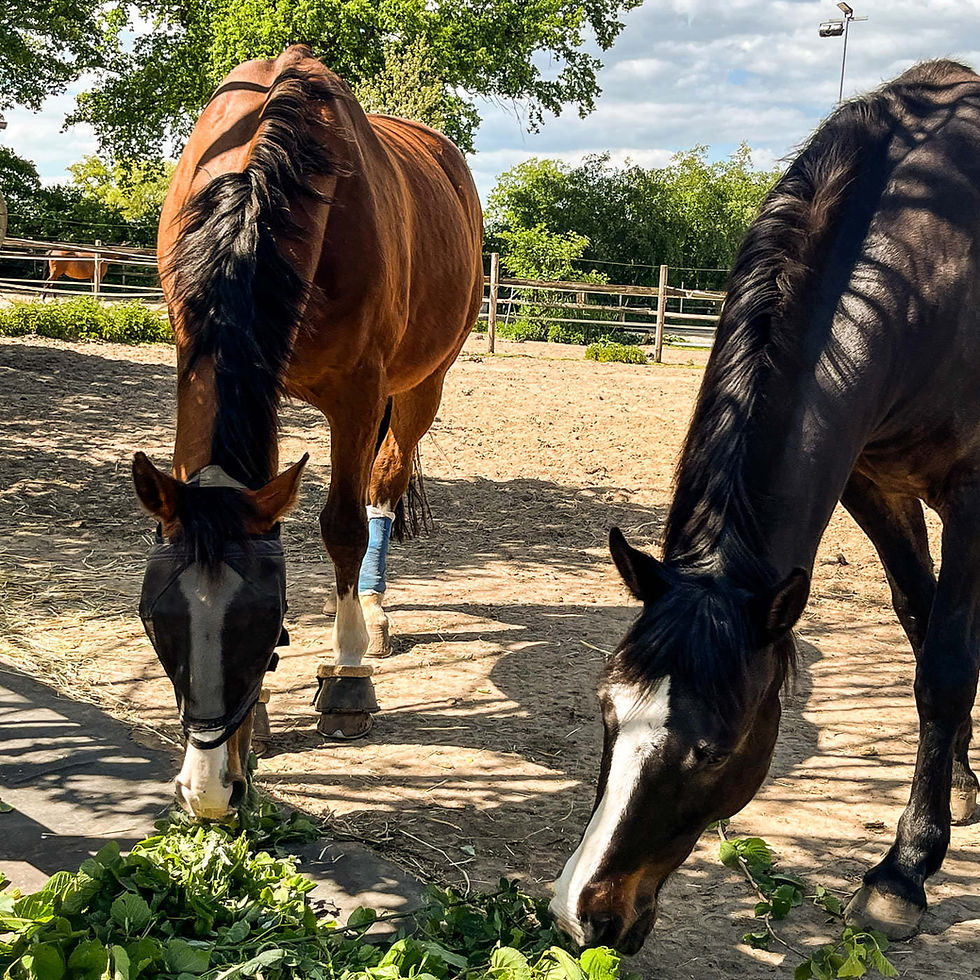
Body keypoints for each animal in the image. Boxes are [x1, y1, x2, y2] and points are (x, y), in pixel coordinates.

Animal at [132, 44, 483, 820]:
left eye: (265, 621)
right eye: (157, 620)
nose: (209, 793)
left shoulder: (357, 393)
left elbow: (343, 526)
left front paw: (346, 678)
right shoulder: (201, 358)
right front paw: (259, 718)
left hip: (419, 386)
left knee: (384, 484)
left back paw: (372, 615)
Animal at [550, 60, 980, 954]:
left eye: (713, 750)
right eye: (606, 707)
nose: (584, 914)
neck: (937, 266)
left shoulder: (972, 490)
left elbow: (947, 667)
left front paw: (905, 873)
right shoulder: (875, 484)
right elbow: (923, 630)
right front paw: (952, 790)